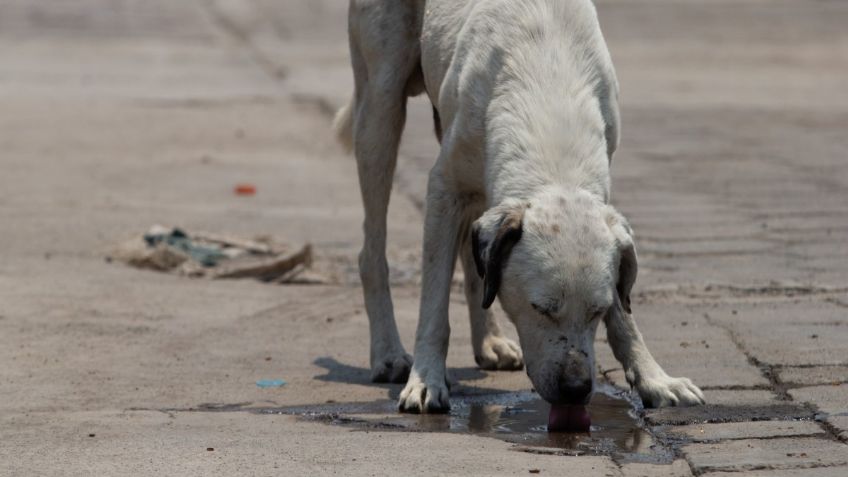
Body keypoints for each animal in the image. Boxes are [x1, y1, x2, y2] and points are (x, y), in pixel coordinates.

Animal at [334, 0, 704, 412]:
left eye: (596, 311)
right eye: (541, 308)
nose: (576, 389)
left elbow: (623, 315)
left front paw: (654, 377)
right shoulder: (443, 188)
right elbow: (433, 304)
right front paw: (426, 380)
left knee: (475, 255)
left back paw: (489, 342)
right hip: (379, 107)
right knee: (372, 247)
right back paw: (387, 353)